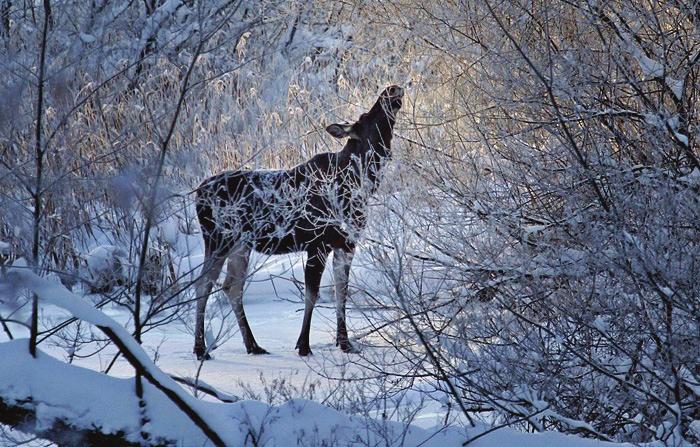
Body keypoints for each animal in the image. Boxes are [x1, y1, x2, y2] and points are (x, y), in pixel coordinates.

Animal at [193, 85, 404, 360]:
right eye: (367, 117)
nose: (391, 89)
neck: (359, 182)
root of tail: (198, 194)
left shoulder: (346, 244)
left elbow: (342, 291)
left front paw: (345, 343)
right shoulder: (318, 244)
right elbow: (312, 294)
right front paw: (303, 345)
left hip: (241, 245)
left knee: (232, 286)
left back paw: (253, 345)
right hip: (219, 239)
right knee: (203, 285)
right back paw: (200, 349)